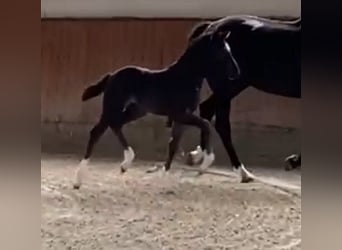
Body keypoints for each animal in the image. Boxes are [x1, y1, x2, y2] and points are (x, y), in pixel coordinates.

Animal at [72, 31, 239, 188]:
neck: (185, 77)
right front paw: (206, 162)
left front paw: (163, 176)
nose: (236, 73)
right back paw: (79, 179)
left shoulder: (181, 118)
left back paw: (126, 163)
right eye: (223, 51)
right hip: (112, 107)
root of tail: (112, 75)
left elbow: (174, 144)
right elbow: (206, 124)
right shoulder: (181, 114)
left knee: (116, 124)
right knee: (96, 132)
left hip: (136, 111)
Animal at [178, 14, 300, 182]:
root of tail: (211, 26)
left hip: (229, 89)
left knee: (207, 109)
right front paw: (293, 161)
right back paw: (242, 171)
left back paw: (197, 155)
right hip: (228, 88)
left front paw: (293, 161)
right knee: (221, 124)